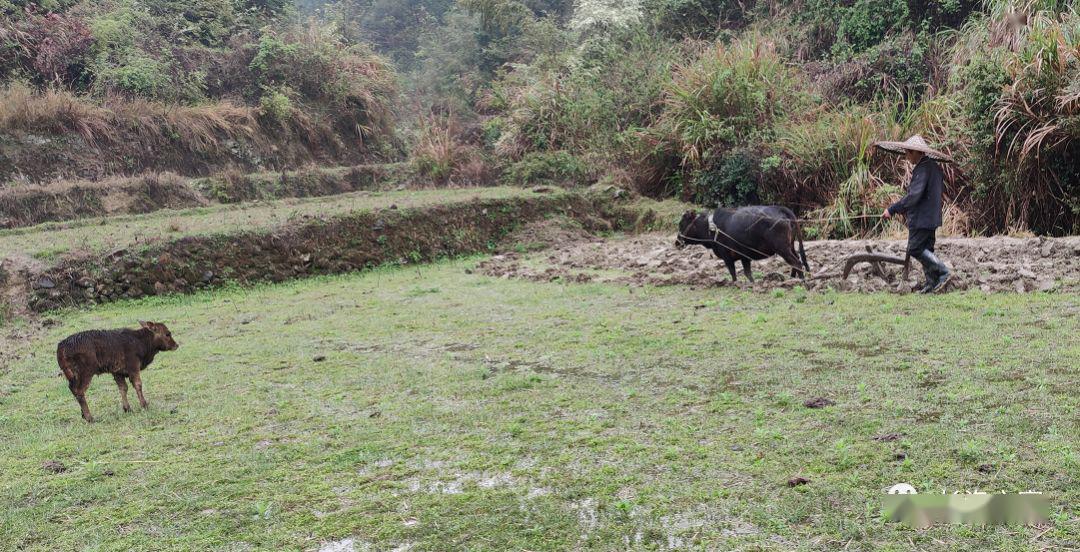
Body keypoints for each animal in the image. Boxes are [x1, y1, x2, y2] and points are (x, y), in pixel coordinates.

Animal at [673, 207, 812, 285]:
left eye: (681, 223)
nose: (677, 242)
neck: (711, 228)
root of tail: (780, 209)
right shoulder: (744, 256)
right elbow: (748, 273)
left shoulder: (727, 256)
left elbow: (733, 273)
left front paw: (735, 284)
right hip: (790, 246)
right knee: (796, 260)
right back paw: (792, 279)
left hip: (782, 249)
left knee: (796, 262)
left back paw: (801, 282)